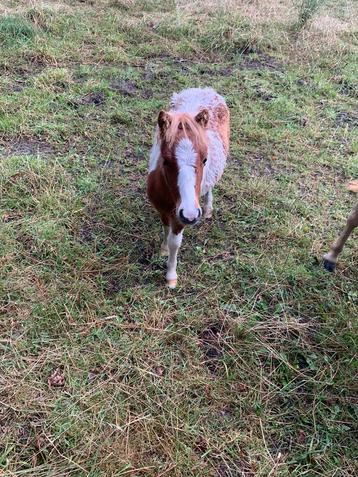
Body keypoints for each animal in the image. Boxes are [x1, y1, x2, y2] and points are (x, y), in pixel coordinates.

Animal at [148, 87, 229, 286]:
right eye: (165, 161)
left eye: (205, 159)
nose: (191, 214)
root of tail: (205, 89)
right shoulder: (162, 210)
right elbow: (165, 229)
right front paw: (163, 249)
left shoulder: (180, 218)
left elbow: (175, 242)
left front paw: (171, 277)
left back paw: (208, 209)